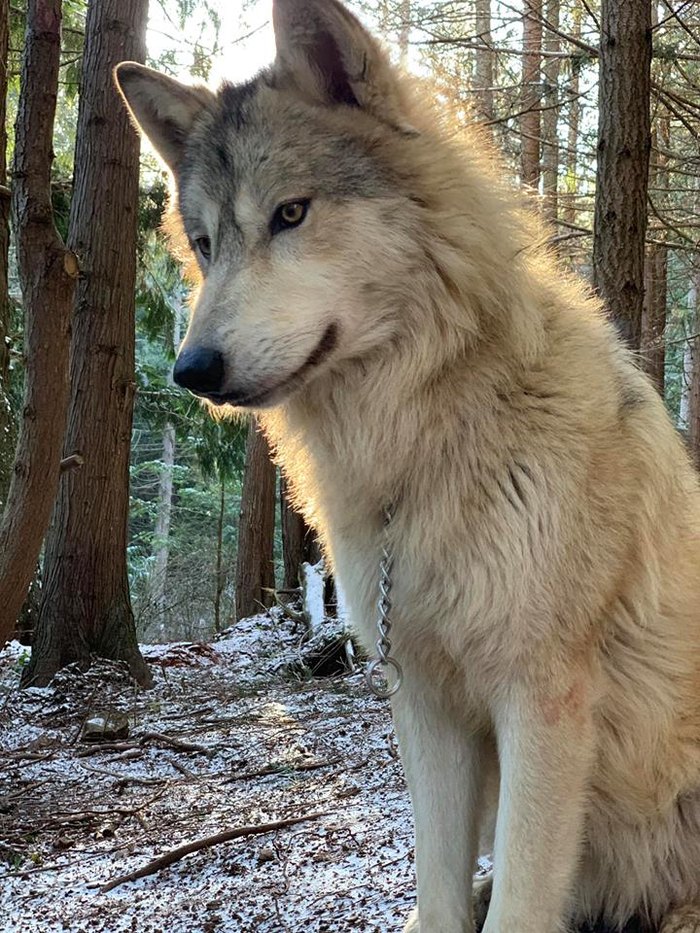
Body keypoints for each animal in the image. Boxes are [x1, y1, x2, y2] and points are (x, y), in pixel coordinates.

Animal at [116, 3, 700, 928]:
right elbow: (441, 891)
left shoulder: (542, 701)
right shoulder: (426, 701)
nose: (191, 370)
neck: (425, 444)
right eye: (205, 244)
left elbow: (518, 907)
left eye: (290, 213)